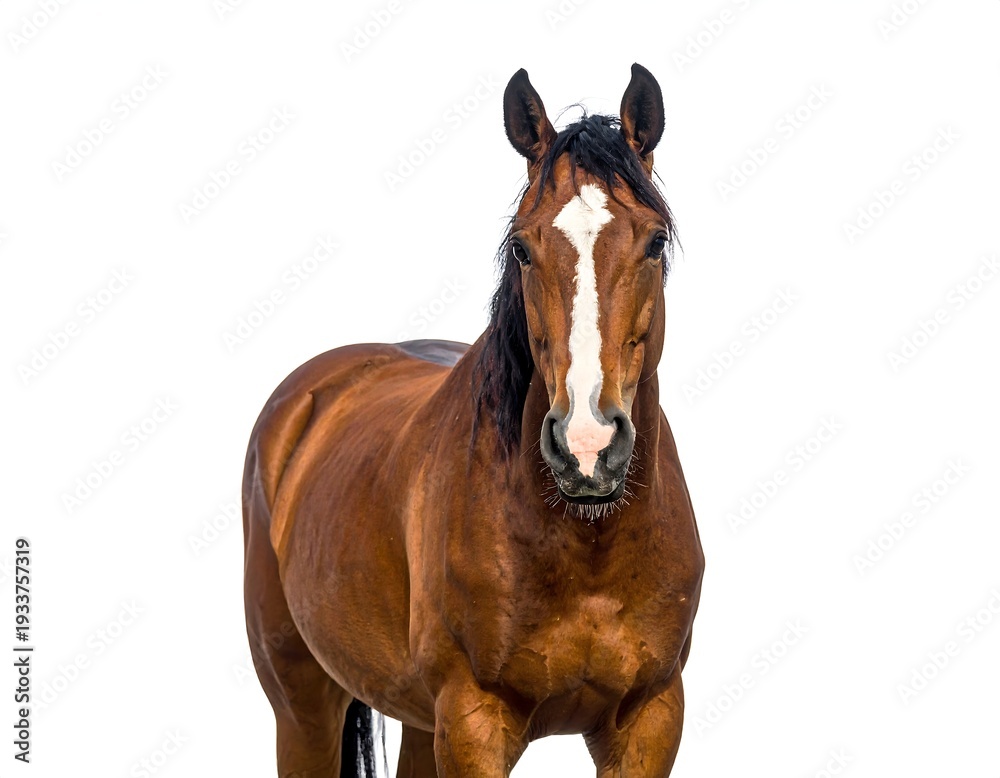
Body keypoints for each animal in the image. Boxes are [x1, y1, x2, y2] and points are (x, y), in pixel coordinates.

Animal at [242, 63, 704, 777]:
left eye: (655, 242)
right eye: (521, 247)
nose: (587, 445)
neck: (588, 549)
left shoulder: (651, 720)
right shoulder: (472, 721)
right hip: (302, 706)